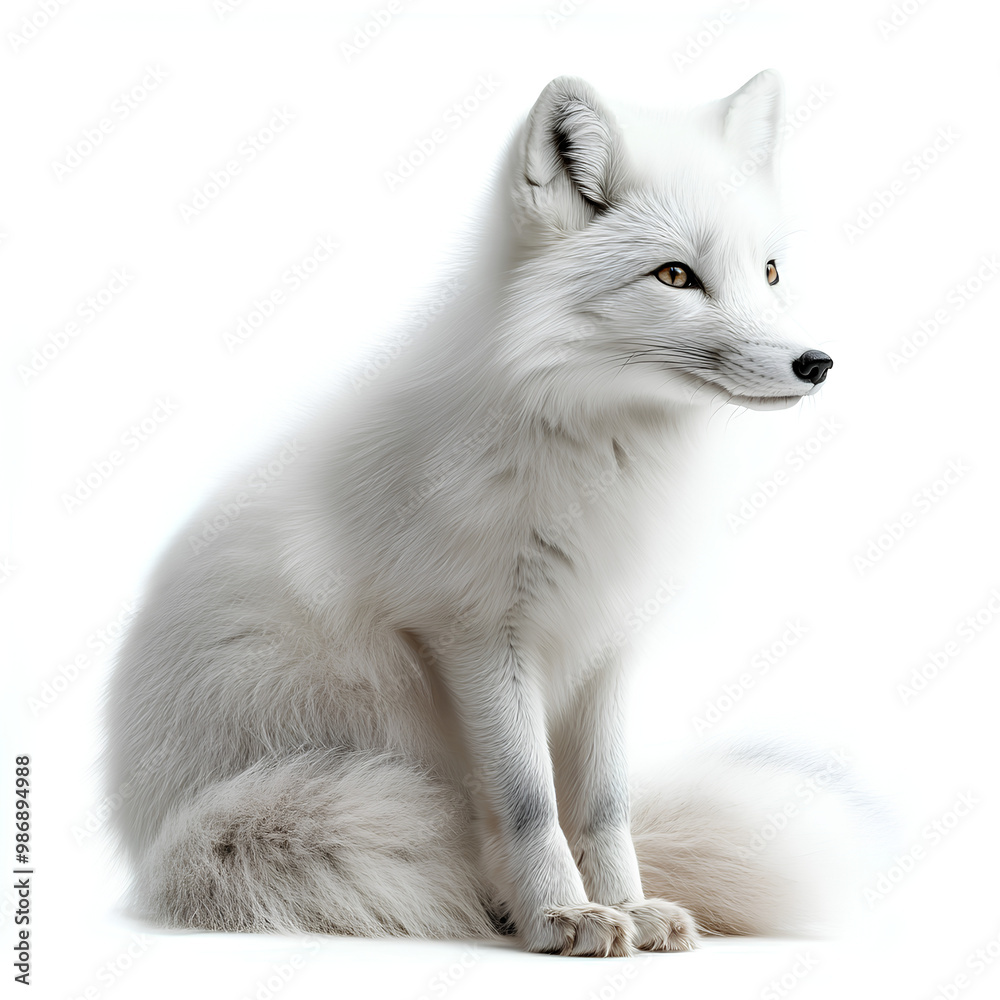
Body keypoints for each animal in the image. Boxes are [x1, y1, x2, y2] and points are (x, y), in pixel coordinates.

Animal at [105, 71, 854, 958]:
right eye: (675, 277)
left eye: (769, 271)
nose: (817, 363)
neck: (599, 454)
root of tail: (150, 840)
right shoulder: (473, 632)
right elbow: (532, 802)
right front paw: (562, 916)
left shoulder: (604, 641)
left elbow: (604, 805)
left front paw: (626, 907)